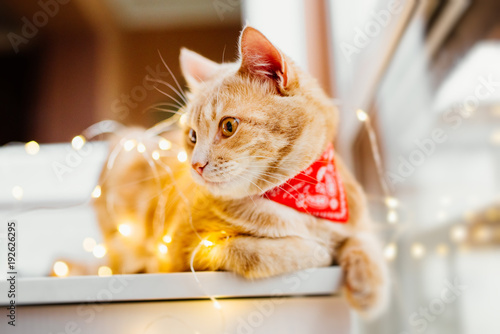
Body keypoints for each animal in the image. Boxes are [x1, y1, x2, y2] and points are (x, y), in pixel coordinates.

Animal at [94, 26, 390, 318]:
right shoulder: (181, 252)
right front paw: (317, 249)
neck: (297, 196)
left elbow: (364, 238)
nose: (195, 165)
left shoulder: (355, 217)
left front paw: (369, 281)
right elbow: (255, 251)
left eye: (228, 126)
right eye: (192, 136)